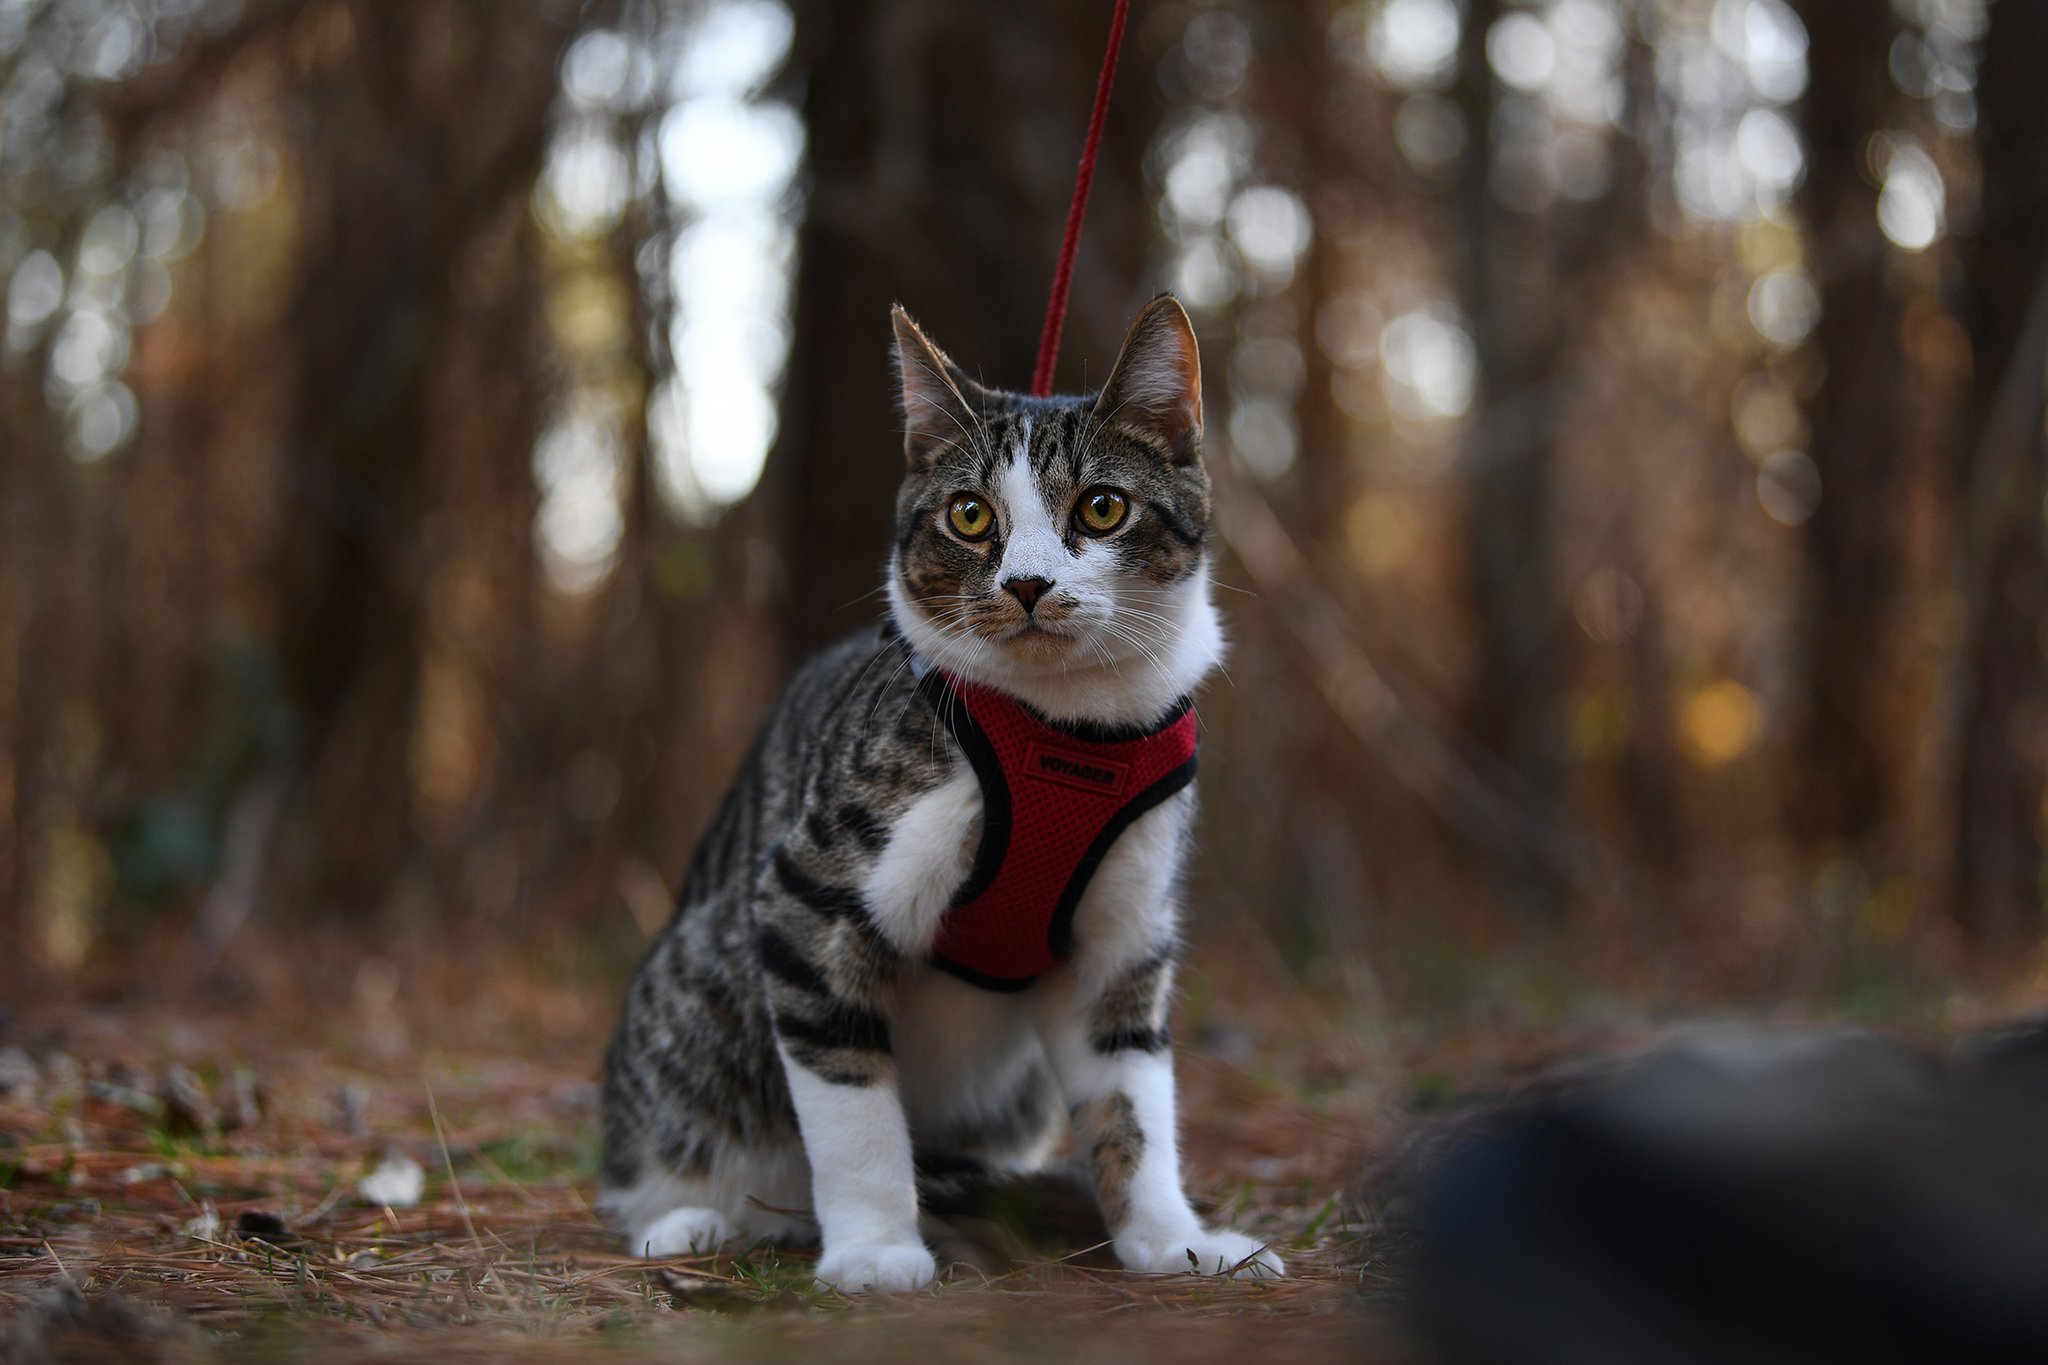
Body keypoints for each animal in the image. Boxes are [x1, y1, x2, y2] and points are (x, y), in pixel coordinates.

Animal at [598, 294, 1286, 1301]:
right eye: (970, 515)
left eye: (1103, 506)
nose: (1028, 583)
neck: (1066, 725)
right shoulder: (811, 895)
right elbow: (851, 1104)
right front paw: (876, 1250)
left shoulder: (1123, 935)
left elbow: (1133, 1099)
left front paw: (1173, 1241)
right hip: (698, 977)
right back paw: (692, 1219)